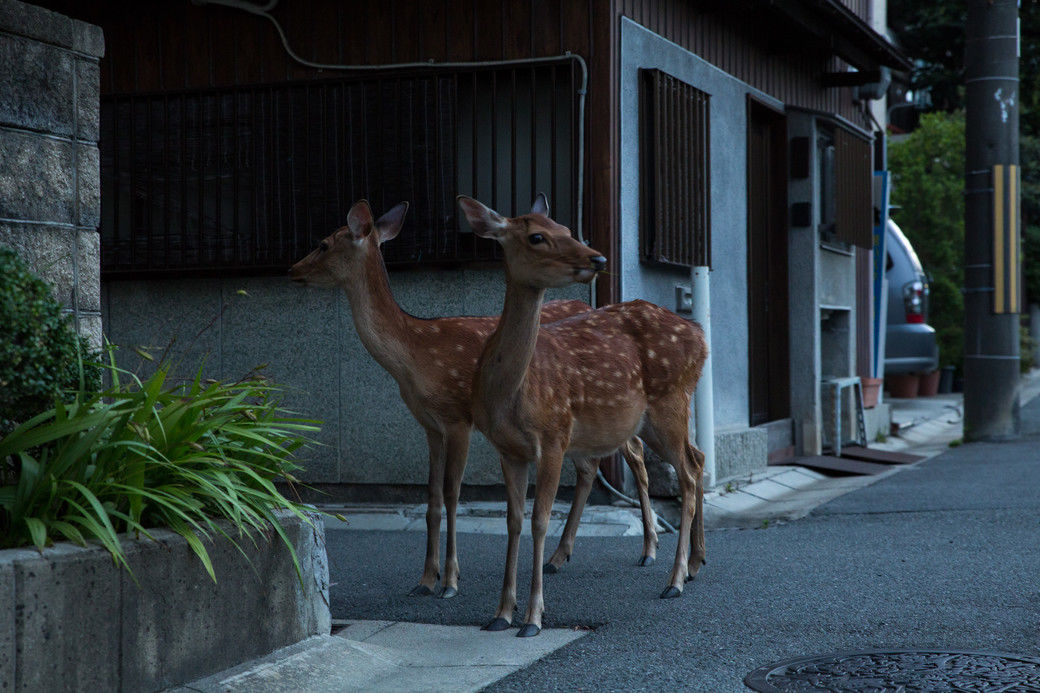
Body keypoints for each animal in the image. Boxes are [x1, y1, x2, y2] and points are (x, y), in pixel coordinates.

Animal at [287, 200, 657, 599]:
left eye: (323, 243)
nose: (293, 270)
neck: (413, 355)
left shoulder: (457, 417)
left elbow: (452, 494)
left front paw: (450, 580)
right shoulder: (429, 425)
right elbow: (432, 498)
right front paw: (425, 579)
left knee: (634, 452)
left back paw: (649, 550)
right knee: (592, 465)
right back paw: (559, 557)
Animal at [459, 194, 711, 636]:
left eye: (566, 227)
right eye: (537, 235)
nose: (598, 258)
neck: (510, 394)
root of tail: (699, 335)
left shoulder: (555, 435)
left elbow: (541, 519)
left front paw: (533, 618)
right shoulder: (507, 449)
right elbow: (513, 521)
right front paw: (500, 613)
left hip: (670, 401)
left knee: (689, 473)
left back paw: (676, 579)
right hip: (657, 416)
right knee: (696, 459)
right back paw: (695, 564)